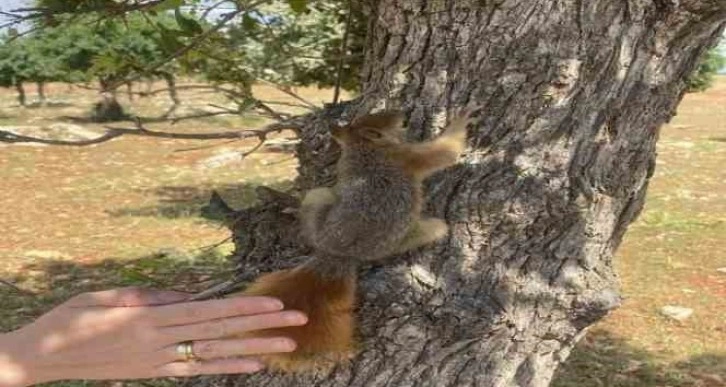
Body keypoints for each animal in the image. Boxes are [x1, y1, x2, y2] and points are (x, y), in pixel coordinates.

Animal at [239, 107, 478, 372]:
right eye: (392, 119)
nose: (404, 113)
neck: (363, 146)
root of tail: (338, 253)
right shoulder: (406, 155)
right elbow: (445, 152)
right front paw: (461, 120)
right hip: (339, 207)